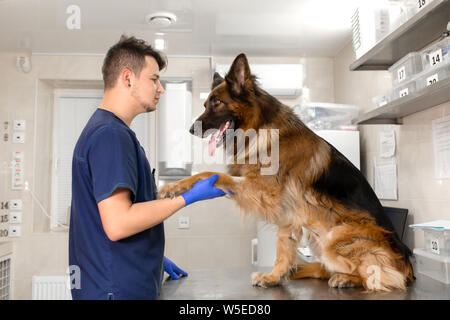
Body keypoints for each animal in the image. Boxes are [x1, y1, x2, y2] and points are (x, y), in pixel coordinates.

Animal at [159, 53, 414, 292]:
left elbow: (211, 175)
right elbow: (283, 248)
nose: (190, 130)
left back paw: (348, 279)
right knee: (326, 270)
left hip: (335, 239)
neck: (260, 128)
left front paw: (173, 187)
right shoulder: (287, 213)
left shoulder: (265, 192)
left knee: (385, 277)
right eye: (205, 105)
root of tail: (408, 264)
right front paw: (274, 276)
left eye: (217, 102)